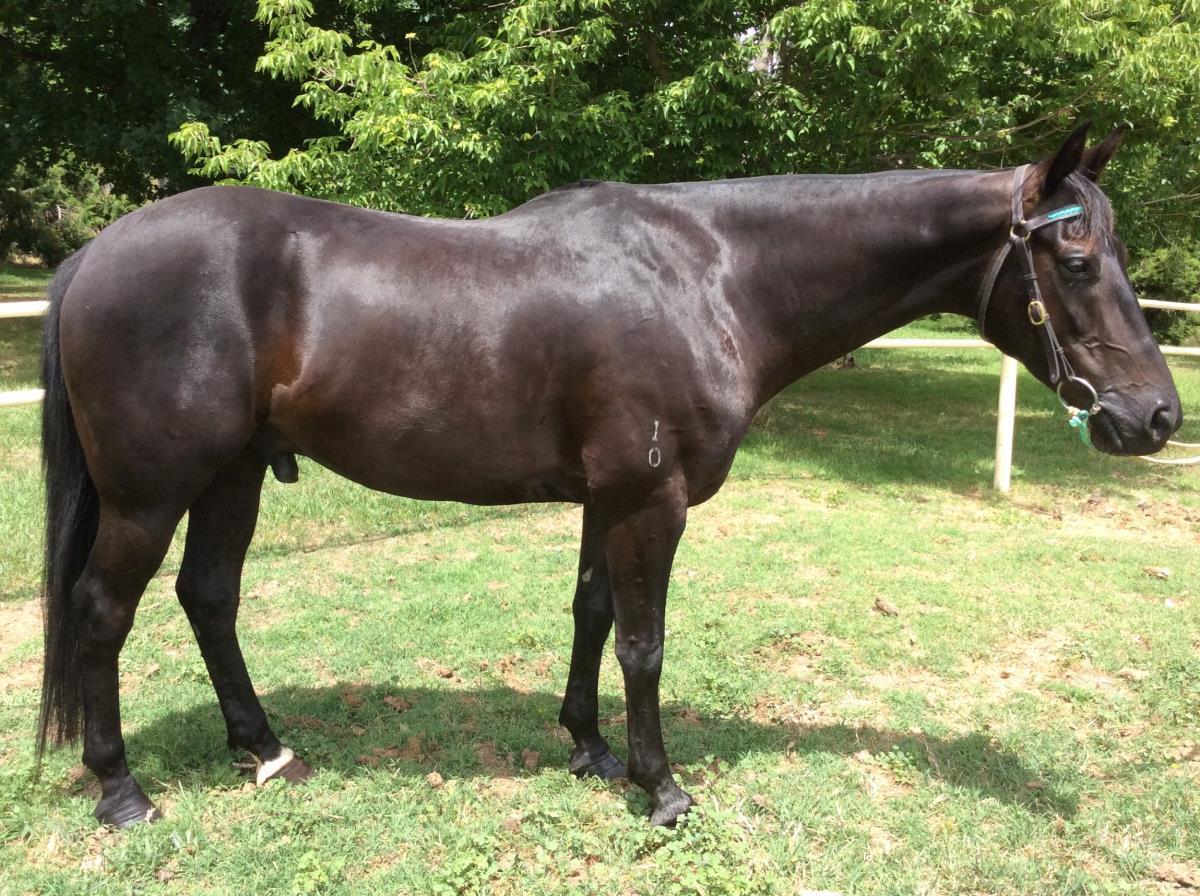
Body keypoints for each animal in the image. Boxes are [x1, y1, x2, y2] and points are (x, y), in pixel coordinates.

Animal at [36, 123, 1181, 828]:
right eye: (1076, 261)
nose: (1157, 416)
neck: (710, 275)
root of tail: (90, 257)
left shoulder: (608, 498)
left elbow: (590, 614)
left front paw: (586, 747)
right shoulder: (648, 501)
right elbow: (643, 641)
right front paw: (660, 785)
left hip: (231, 474)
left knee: (208, 596)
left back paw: (265, 747)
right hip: (150, 492)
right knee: (101, 611)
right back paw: (121, 789)